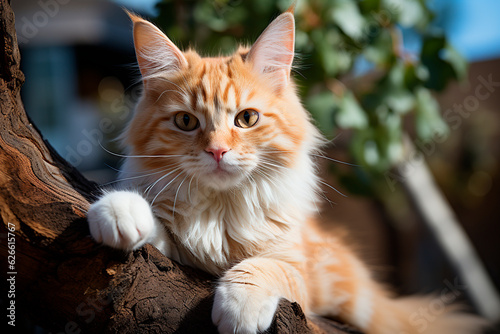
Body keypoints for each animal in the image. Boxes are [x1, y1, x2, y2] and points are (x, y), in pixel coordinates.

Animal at [88, 7, 486, 334]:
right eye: (186, 121)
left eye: (247, 118)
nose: (217, 150)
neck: (222, 210)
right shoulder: (177, 252)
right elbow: (152, 223)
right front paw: (119, 212)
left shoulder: (298, 268)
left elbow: (264, 268)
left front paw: (240, 308)